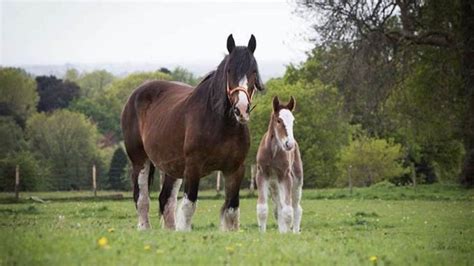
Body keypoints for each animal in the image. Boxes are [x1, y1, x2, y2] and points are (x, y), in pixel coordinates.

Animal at [121, 34, 262, 231]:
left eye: (253, 71)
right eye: (229, 71)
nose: (241, 109)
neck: (221, 125)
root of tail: (134, 95)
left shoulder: (235, 169)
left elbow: (232, 209)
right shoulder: (194, 167)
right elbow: (189, 205)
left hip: (173, 167)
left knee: (166, 200)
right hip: (139, 160)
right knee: (142, 199)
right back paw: (144, 228)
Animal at [258, 96, 302, 233]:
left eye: (293, 121)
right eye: (278, 120)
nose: (289, 144)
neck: (273, 152)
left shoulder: (285, 176)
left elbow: (288, 210)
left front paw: (287, 234)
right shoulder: (262, 174)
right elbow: (262, 208)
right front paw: (262, 234)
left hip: (297, 181)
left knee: (296, 208)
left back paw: (294, 232)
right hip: (274, 186)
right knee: (278, 208)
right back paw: (282, 230)